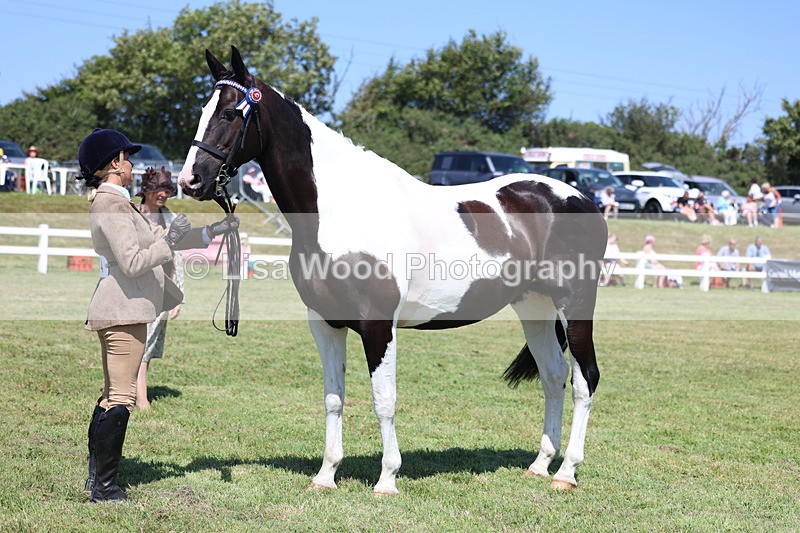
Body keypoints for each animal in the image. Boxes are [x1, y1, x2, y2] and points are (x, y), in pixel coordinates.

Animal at [178, 46, 608, 494]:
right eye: (203, 109)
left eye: (229, 113)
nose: (190, 180)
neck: (342, 210)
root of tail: (581, 198)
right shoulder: (324, 322)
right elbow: (334, 397)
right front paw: (326, 475)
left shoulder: (377, 324)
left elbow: (383, 400)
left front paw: (387, 478)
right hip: (534, 308)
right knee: (553, 376)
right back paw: (540, 465)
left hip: (575, 305)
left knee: (584, 380)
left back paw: (566, 473)